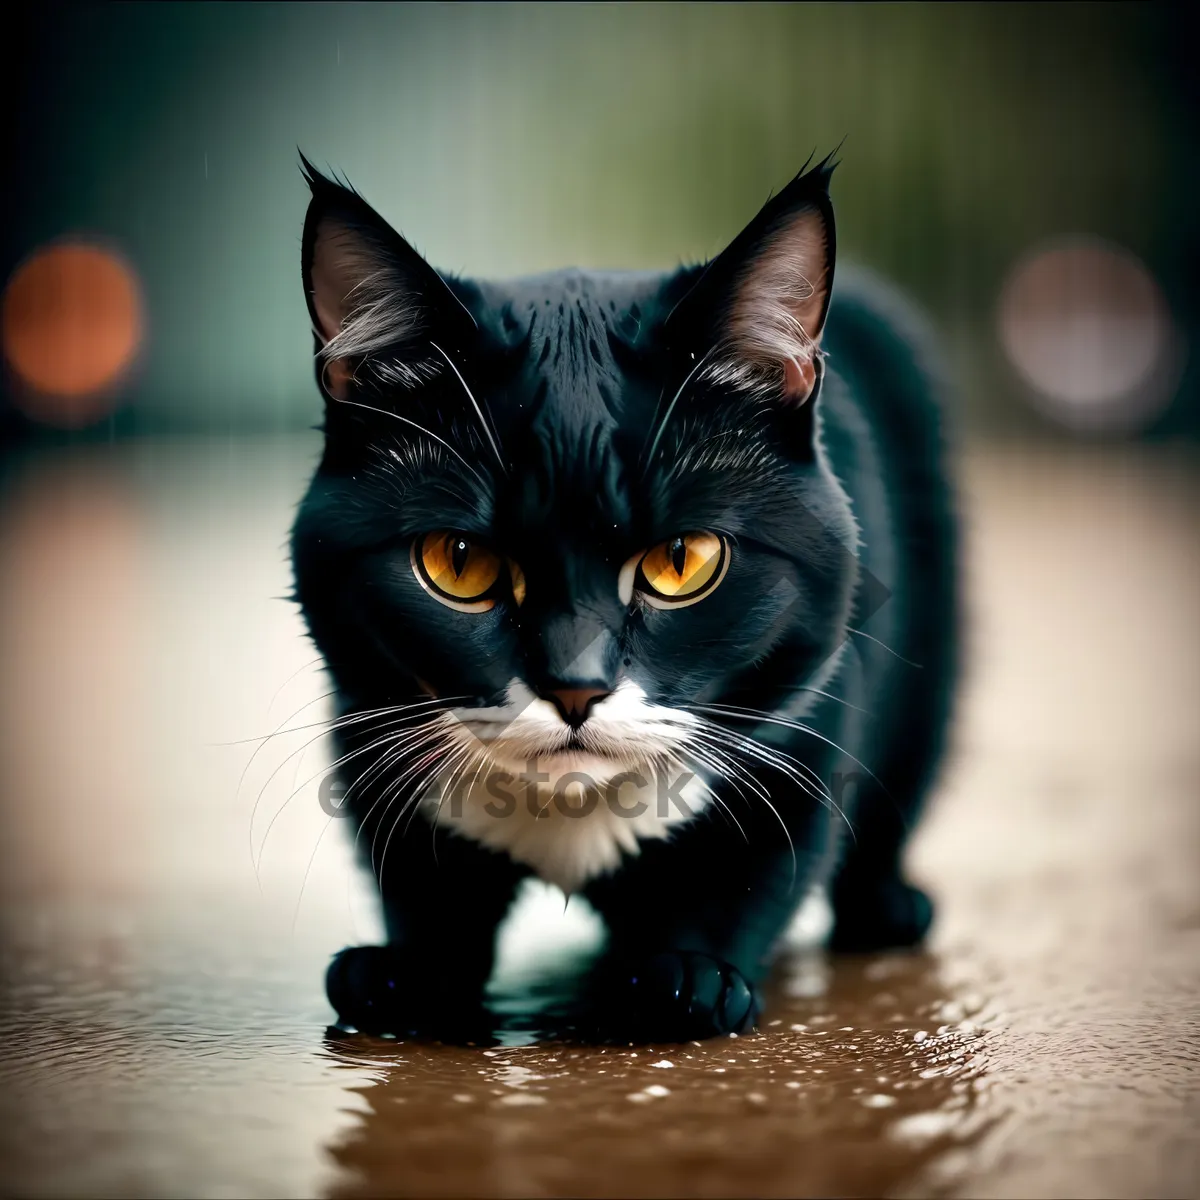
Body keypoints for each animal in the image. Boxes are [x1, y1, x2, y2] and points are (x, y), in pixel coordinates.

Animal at [295, 152, 960, 1041]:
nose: (576, 689)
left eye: (681, 560)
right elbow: (419, 874)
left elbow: (756, 863)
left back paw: (886, 905)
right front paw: (411, 971)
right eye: (458, 561)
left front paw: (688, 973)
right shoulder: (366, 716)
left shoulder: (810, 715)